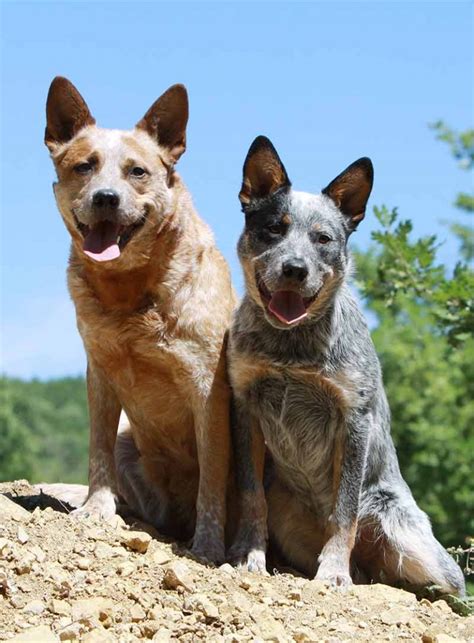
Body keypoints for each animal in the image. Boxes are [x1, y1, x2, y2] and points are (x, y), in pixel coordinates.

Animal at [228, 137, 464, 600]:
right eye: (274, 228)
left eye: (323, 238)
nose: (295, 269)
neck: (291, 349)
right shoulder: (246, 407)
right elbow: (250, 496)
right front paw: (250, 555)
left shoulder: (353, 418)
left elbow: (344, 509)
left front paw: (334, 572)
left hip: (409, 537)